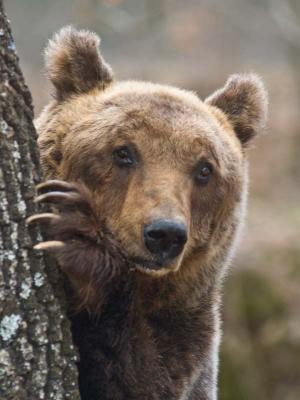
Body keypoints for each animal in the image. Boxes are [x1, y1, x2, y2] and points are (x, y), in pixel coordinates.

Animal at [27, 26, 268, 398]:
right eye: (123, 152)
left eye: (204, 169)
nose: (164, 233)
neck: (143, 282)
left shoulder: (189, 335)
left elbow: (139, 377)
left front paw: (75, 235)